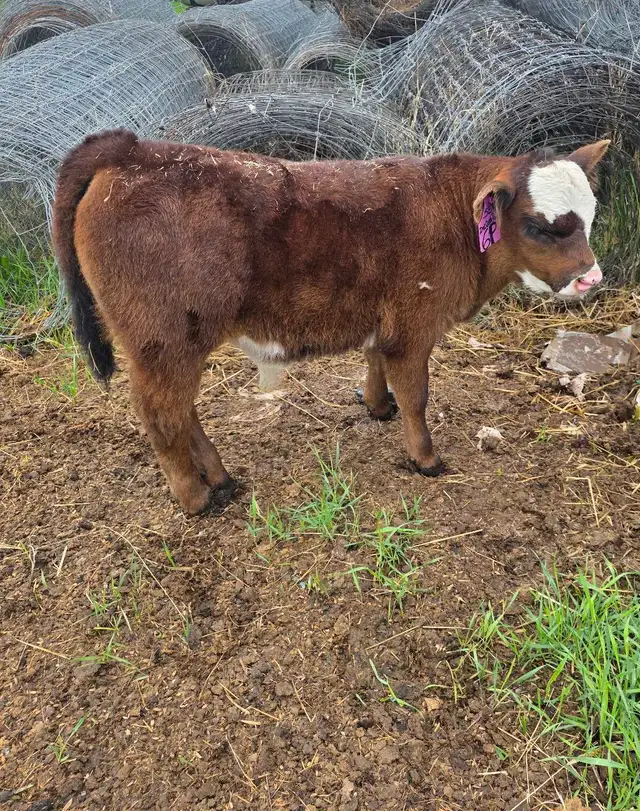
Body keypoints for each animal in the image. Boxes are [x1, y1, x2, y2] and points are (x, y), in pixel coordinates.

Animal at [52, 129, 609, 515]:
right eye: (539, 226)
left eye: (590, 216)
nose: (591, 278)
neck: (452, 215)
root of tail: (131, 150)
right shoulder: (414, 327)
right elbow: (417, 395)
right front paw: (424, 458)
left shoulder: (384, 319)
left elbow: (376, 363)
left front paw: (377, 407)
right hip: (164, 340)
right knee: (161, 415)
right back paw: (196, 498)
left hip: (172, 346)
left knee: (181, 409)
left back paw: (220, 479)